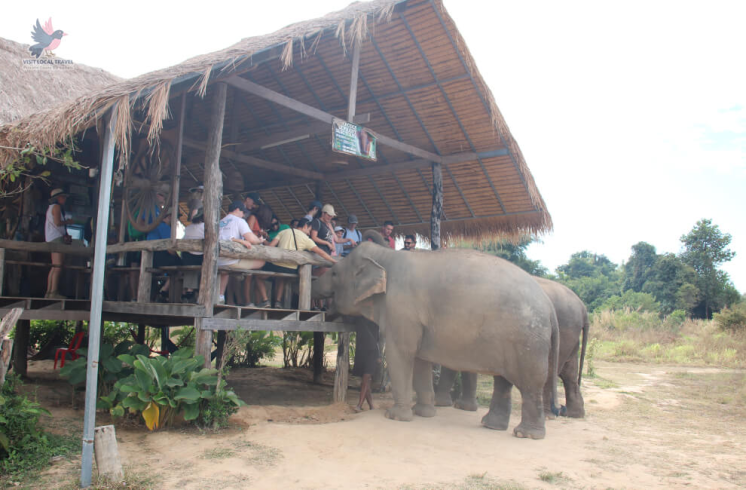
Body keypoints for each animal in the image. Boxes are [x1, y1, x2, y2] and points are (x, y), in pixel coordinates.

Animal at [312, 239, 561, 439]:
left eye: (334, 273)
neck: (385, 257)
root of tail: (549, 305)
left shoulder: (401, 309)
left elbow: (400, 354)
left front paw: (396, 416)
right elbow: (421, 361)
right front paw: (424, 413)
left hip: (527, 340)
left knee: (530, 384)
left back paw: (526, 434)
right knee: (503, 381)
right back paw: (491, 425)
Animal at [435, 276, 590, 418]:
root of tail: (583, 309)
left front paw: (442, 403)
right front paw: (457, 406)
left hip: (562, 332)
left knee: (551, 371)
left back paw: (548, 415)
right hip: (570, 337)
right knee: (569, 372)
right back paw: (573, 414)